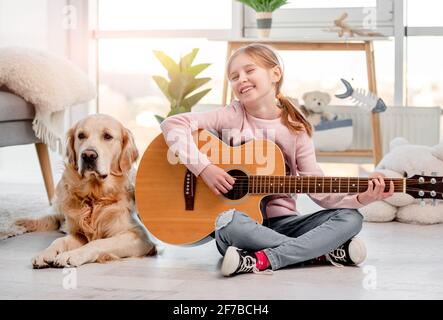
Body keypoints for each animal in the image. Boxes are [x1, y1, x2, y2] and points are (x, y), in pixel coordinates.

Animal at [15, 114, 157, 268]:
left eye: (108, 136)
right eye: (81, 135)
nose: (88, 155)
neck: (95, 196)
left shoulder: (140, 237)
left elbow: (99, 242)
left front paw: (71, 255)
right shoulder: (79, 233)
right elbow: (59, 240)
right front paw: (45, 253)